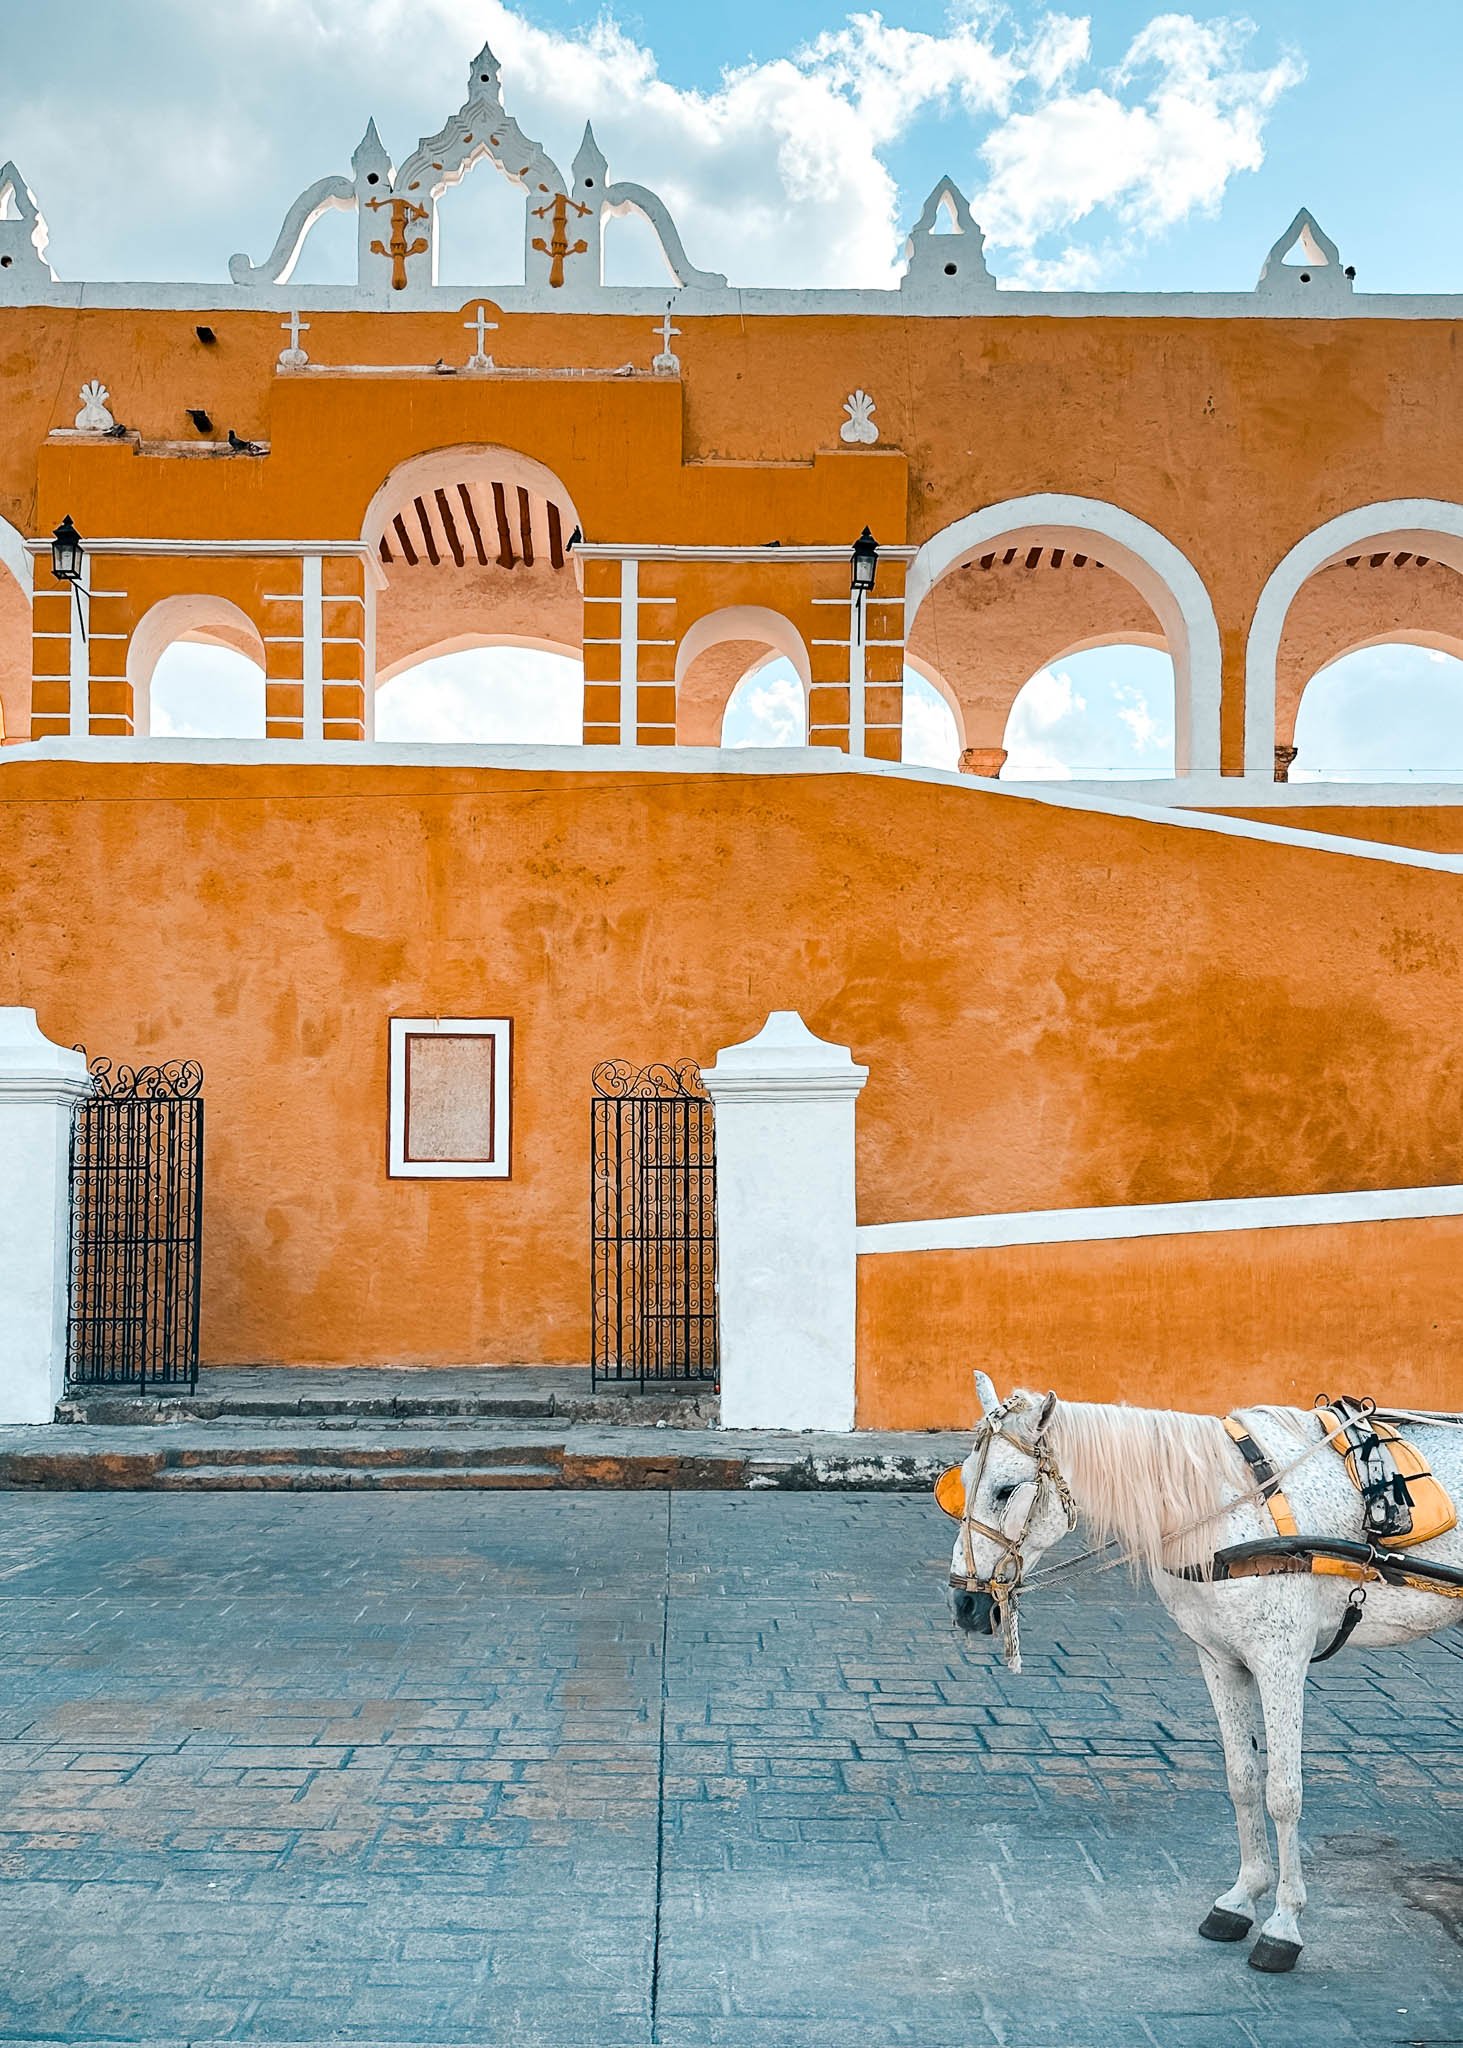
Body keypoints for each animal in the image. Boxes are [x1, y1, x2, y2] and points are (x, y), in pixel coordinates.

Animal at [943, 1375, 1463, 1973]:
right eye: (964, 1483)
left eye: (1006, 1491)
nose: (965, 1604)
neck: (1227, 1508)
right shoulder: (1219, 1658)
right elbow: (1242, 1779)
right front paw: (1241, 1900)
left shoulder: (1280, 1658)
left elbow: (1283, 1792)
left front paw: (1283, 1925)